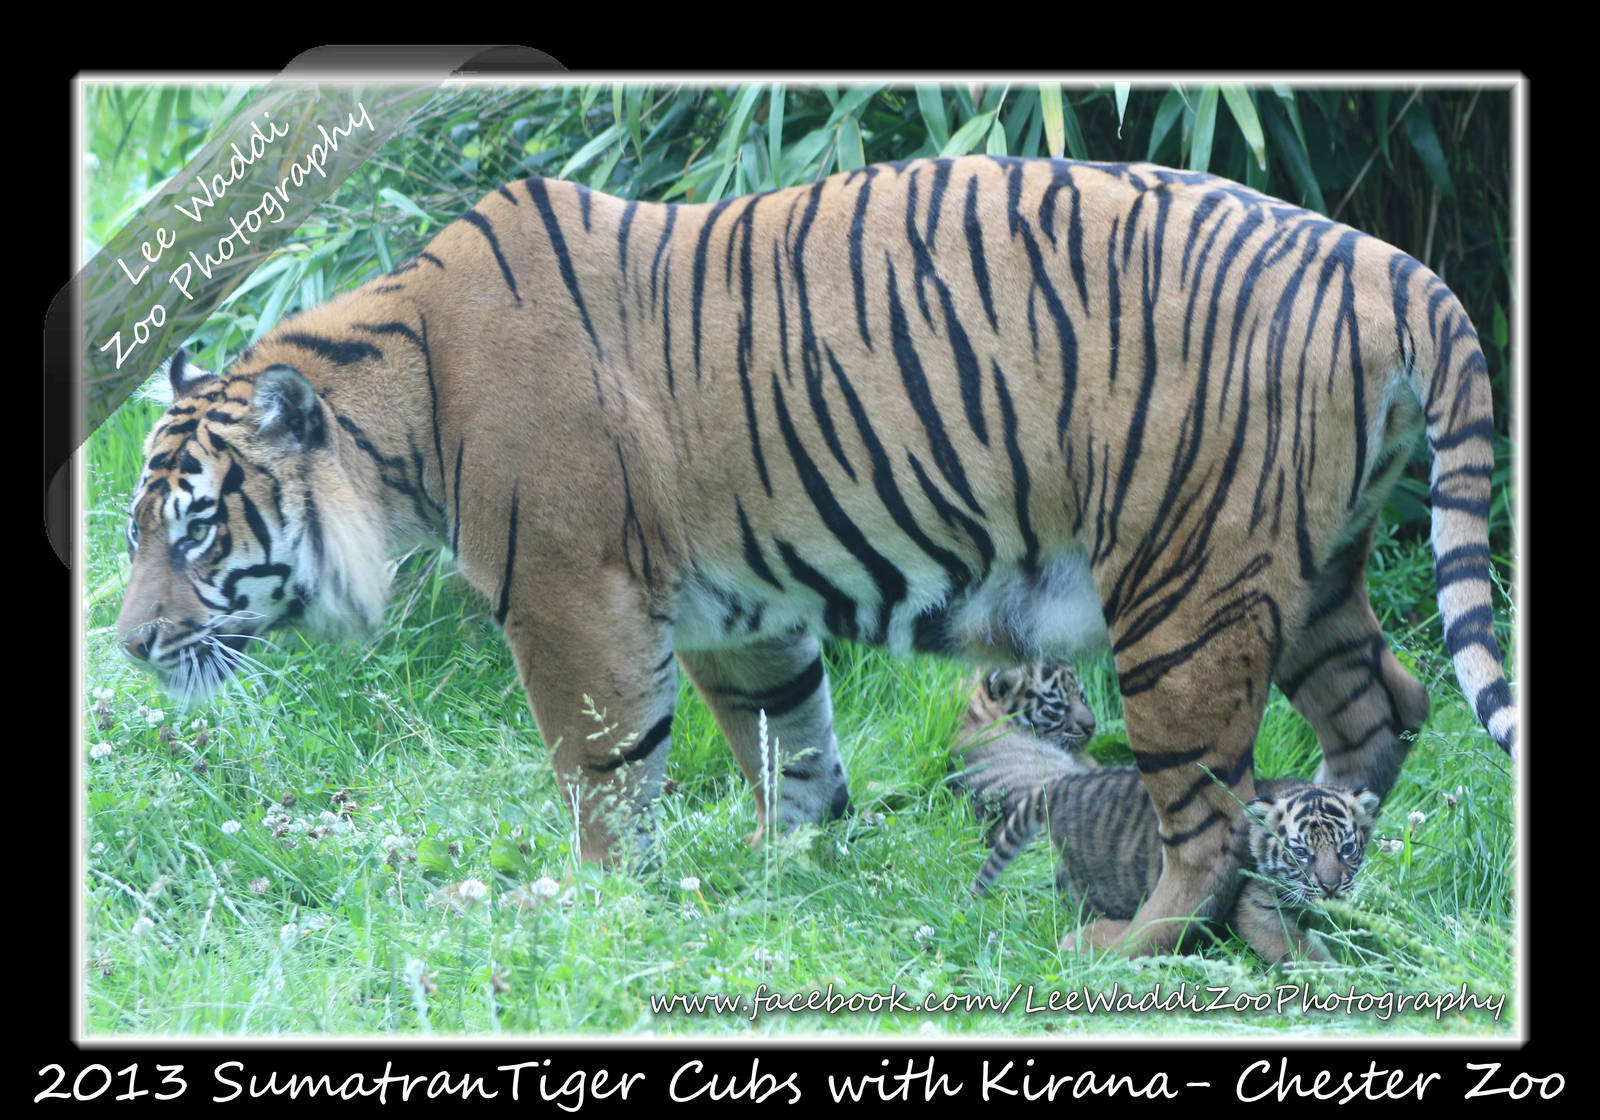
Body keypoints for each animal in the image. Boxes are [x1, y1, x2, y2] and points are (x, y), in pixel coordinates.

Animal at [968, 755, 1379, 963]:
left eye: (1347, 849)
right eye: (1300, 853)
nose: (1329, 887)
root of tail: (1063, 784)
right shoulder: (1255, 907)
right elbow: (1294, 945)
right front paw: (1332, 974)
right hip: (1096, 879)